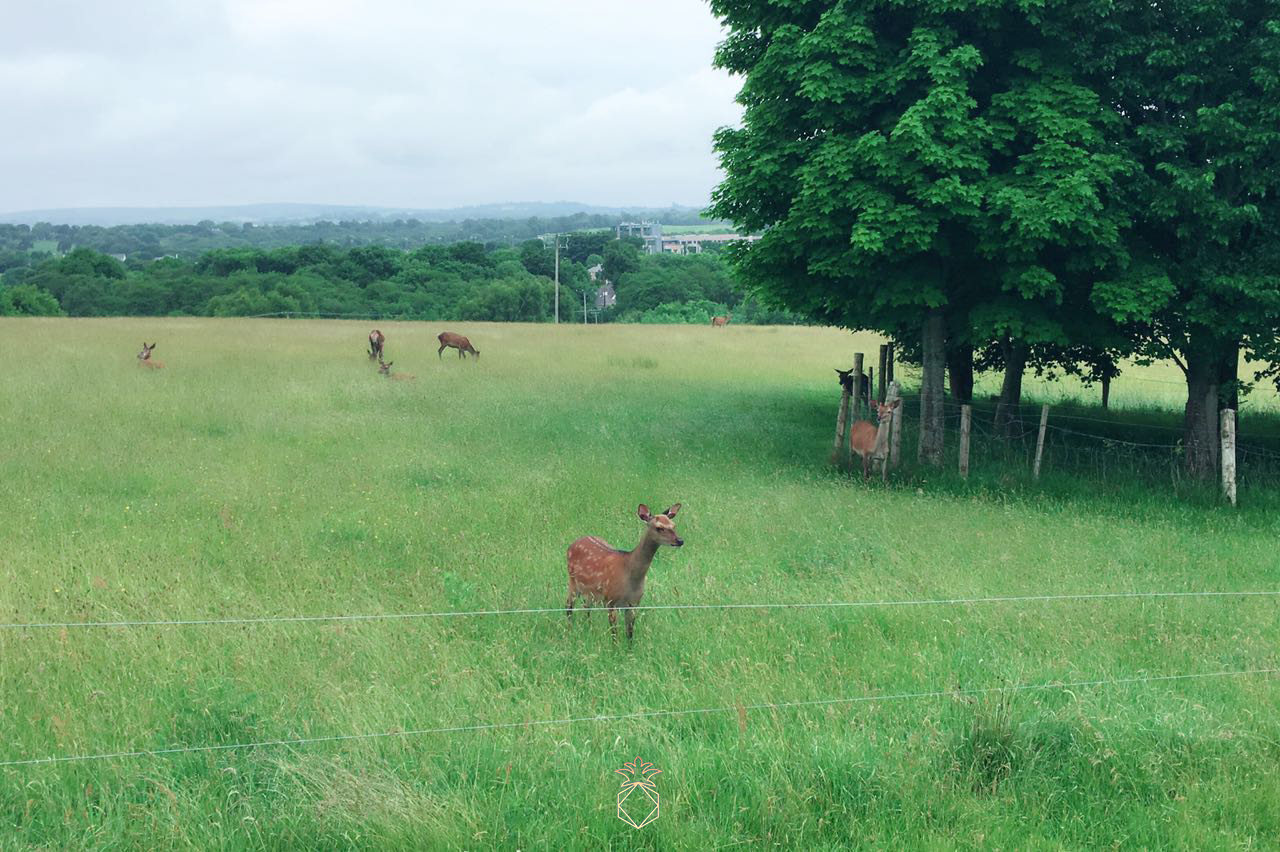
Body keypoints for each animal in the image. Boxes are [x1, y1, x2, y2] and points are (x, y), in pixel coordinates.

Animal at [568, 498, 686, 637]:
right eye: (659, 528)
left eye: (673, 525)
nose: (680, 541)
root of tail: (572, 544)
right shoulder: (610, 601)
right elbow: (614, 634)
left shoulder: (633, 603)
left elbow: (629, 633)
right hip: (572, 582)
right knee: (568, 606)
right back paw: (569, 631)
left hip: (590, 592)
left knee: (586, 607)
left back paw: (589, 628)